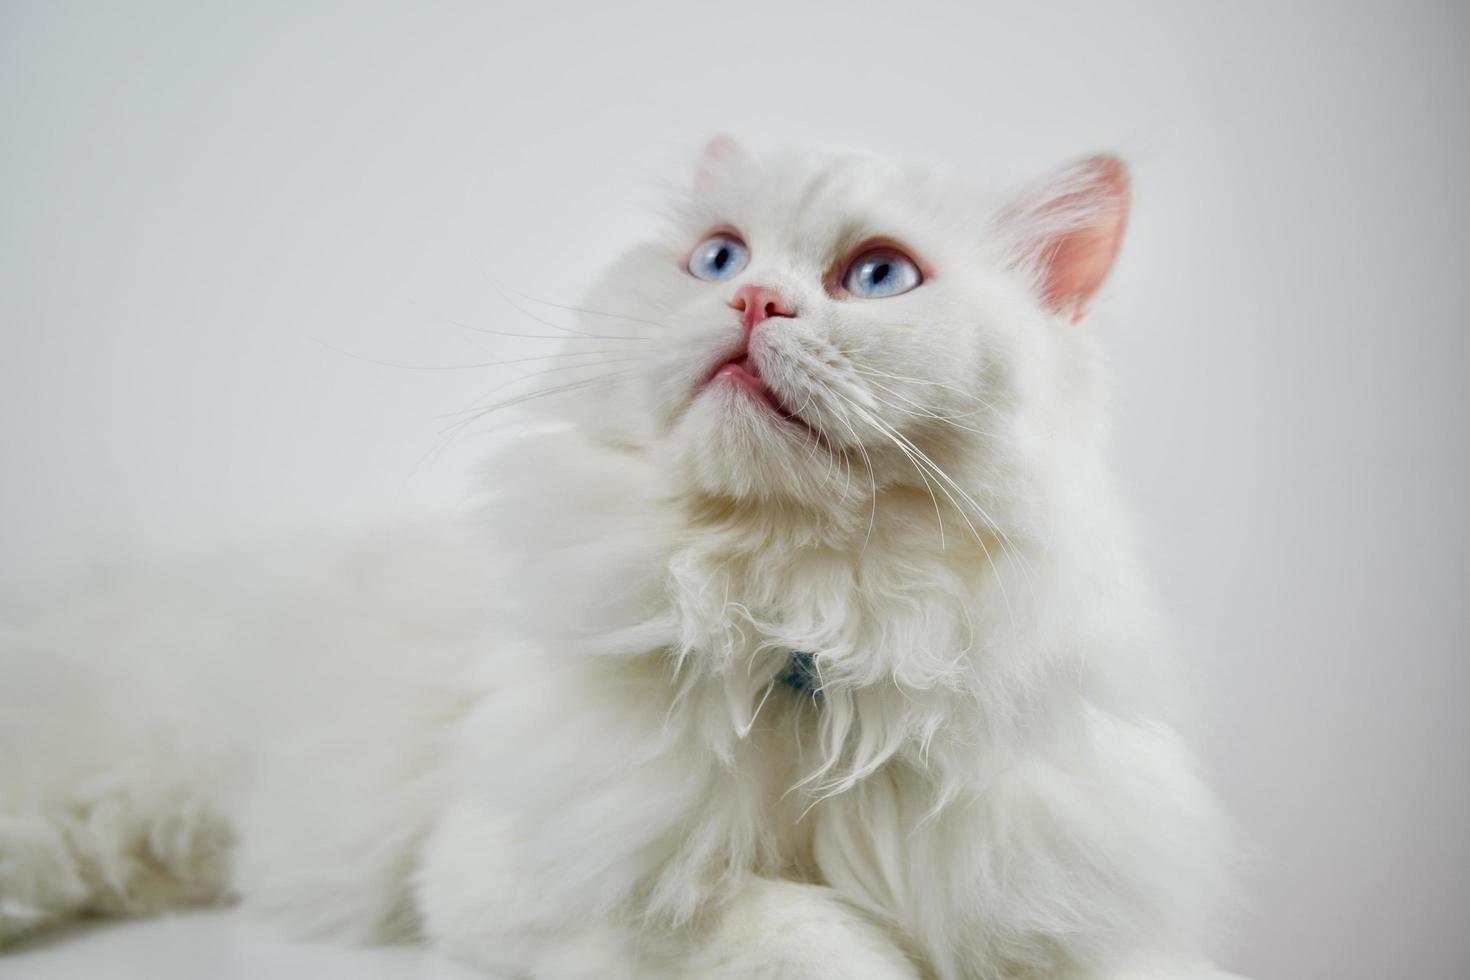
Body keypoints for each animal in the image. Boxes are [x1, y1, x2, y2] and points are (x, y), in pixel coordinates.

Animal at [0, 139, 1240, 980]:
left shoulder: (1073, 903)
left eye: (879, 277)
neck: (807, 629)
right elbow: (809, 933)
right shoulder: (528, 883)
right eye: (716, 257)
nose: (753, 297)